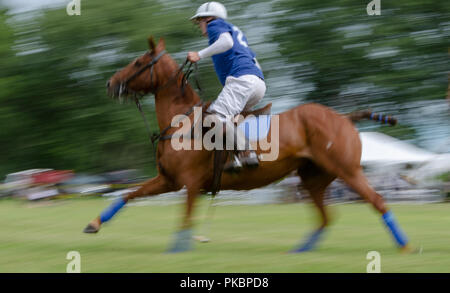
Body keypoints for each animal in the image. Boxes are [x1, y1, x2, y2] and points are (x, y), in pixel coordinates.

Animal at [83, 36, 412, 251]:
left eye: (138, 62)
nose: (111, 83)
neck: (181, 123)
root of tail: (344, 117)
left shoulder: (190, 183)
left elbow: (185, 218)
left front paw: (178, 249)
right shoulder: (169, 180)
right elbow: (128, 195)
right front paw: (93, 224)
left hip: (348, 170)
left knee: (377, 201)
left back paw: (405, 246)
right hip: (313, 177)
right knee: (326, 217)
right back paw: (300, 251)